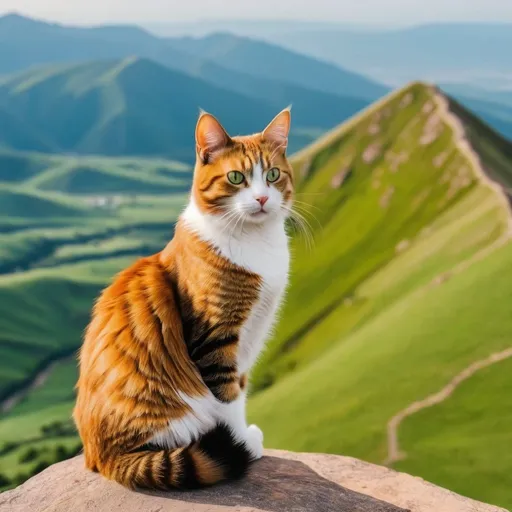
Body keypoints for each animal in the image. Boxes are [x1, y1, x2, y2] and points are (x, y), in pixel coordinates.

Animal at [74, 107, 294, 488]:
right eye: (236, 177)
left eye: (273, 175)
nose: (263, 199)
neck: (255, 243)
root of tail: (99, 458)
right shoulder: (215, 339)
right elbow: (229, 400)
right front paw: (243, 443)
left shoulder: (249, 339)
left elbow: (241, 388)